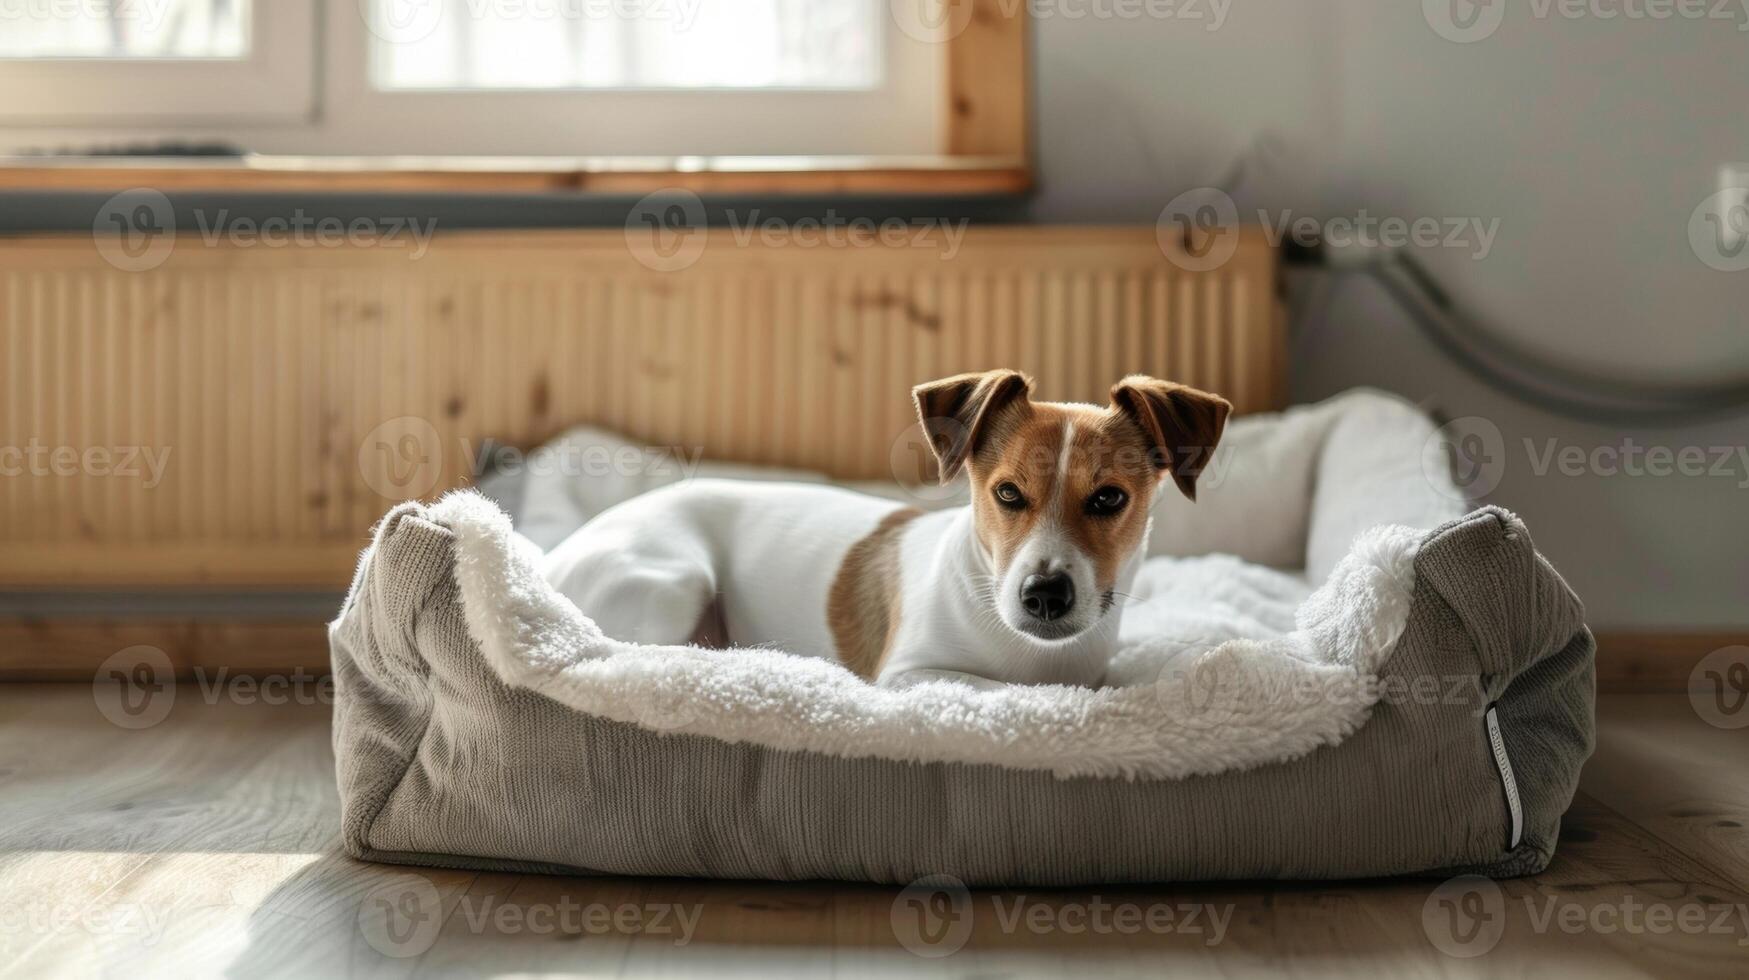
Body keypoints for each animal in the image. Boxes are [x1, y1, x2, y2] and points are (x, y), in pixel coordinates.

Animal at [542, 369, 1231, 689]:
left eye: (1110, 498)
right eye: (1007, 493)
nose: (1043, 595)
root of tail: (552, 558)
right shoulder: (913, 674)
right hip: (673, 583)